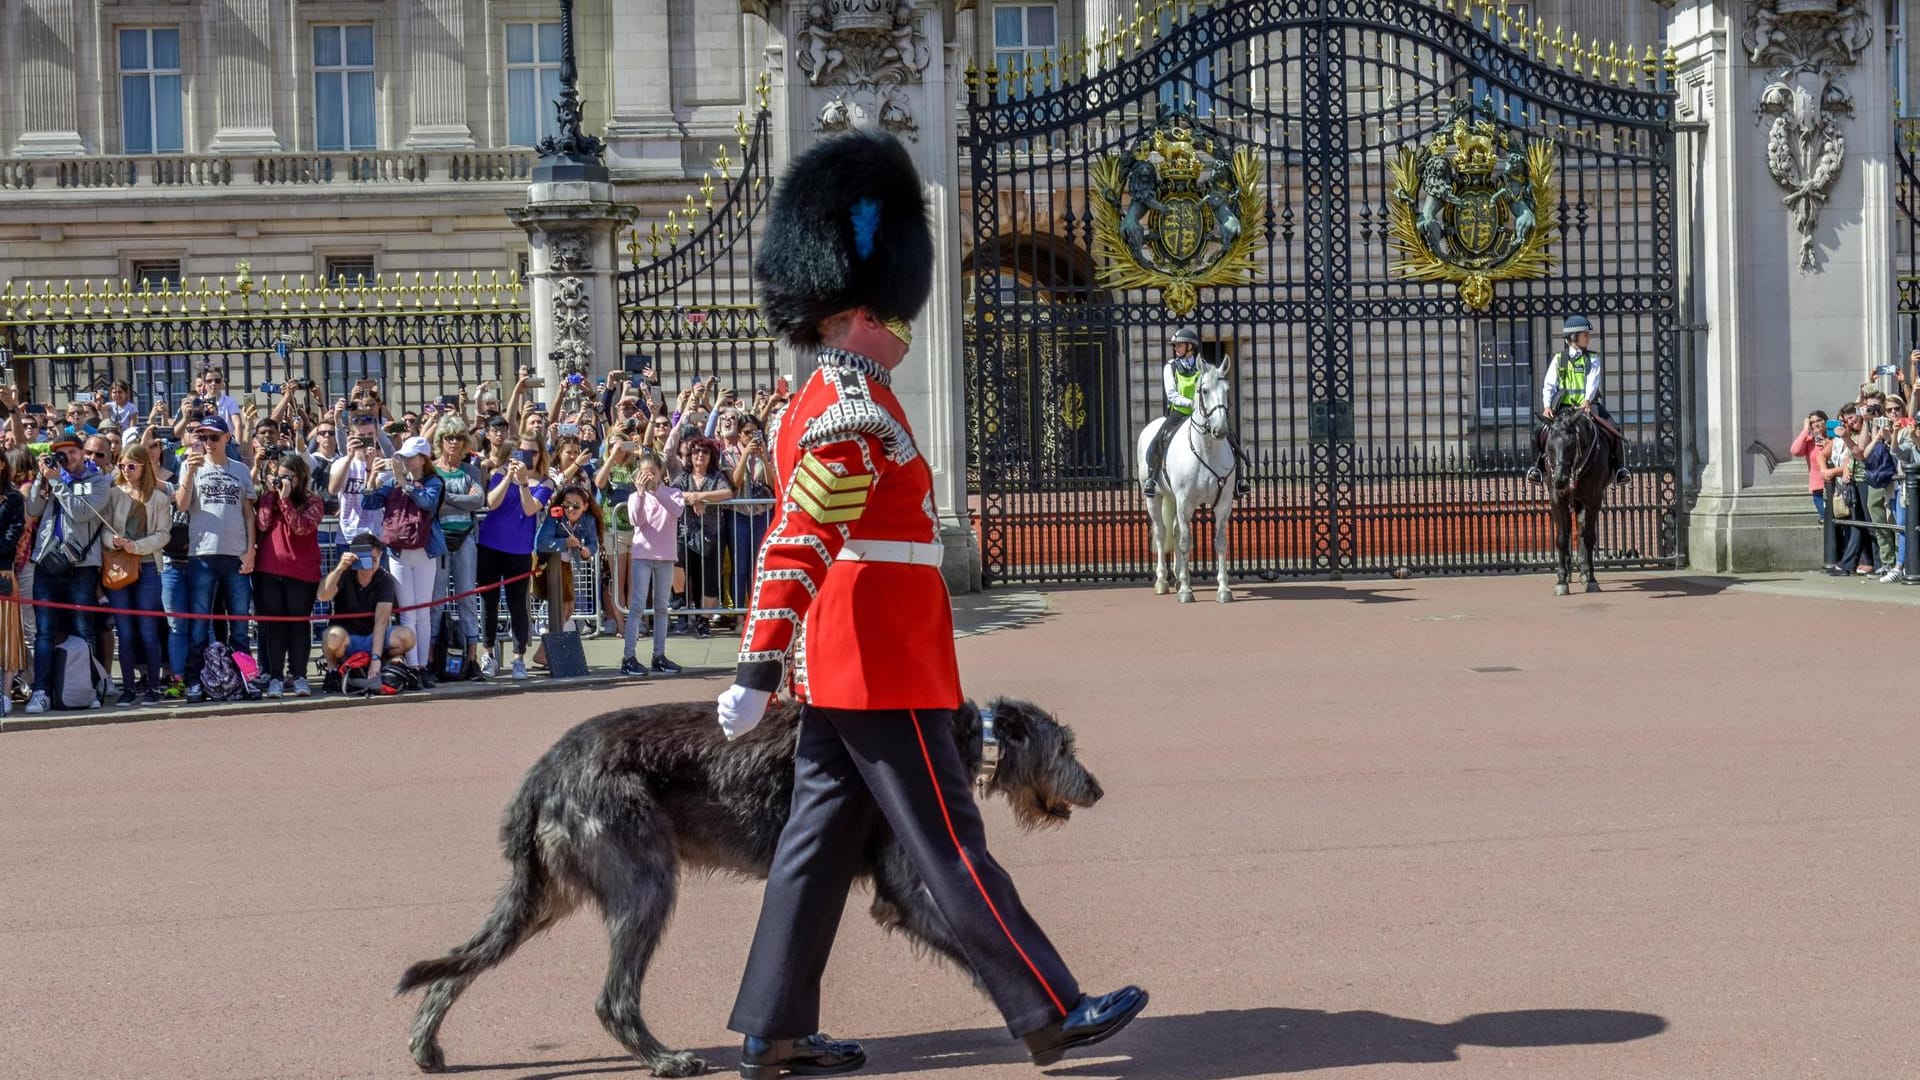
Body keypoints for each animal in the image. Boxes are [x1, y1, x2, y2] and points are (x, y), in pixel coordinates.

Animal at [397, 691, 1105, 1068]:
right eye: (1066, 747)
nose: (1097, 789)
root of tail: (543, 772)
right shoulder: (904, 886)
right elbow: (965, 934)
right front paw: (1053, 1013)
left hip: (546, 892)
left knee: (464, 961)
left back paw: (426, 1045)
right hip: (643, 881)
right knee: (612, 996)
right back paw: (665, 1060)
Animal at [1128, 359, 1236, 595]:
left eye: (1227, 390)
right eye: (1204, 391)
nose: (1220, 429)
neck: (1207, 449)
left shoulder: (1223, 503)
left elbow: (1220, 542)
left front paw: (1224, 589)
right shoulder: (1185, 501)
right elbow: (1186, 541)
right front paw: (1186, 591)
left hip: (1174, 500)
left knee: (1176, 531)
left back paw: (1178, 577)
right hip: (1154, 498)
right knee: (1161, 533)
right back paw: (1162, 581)